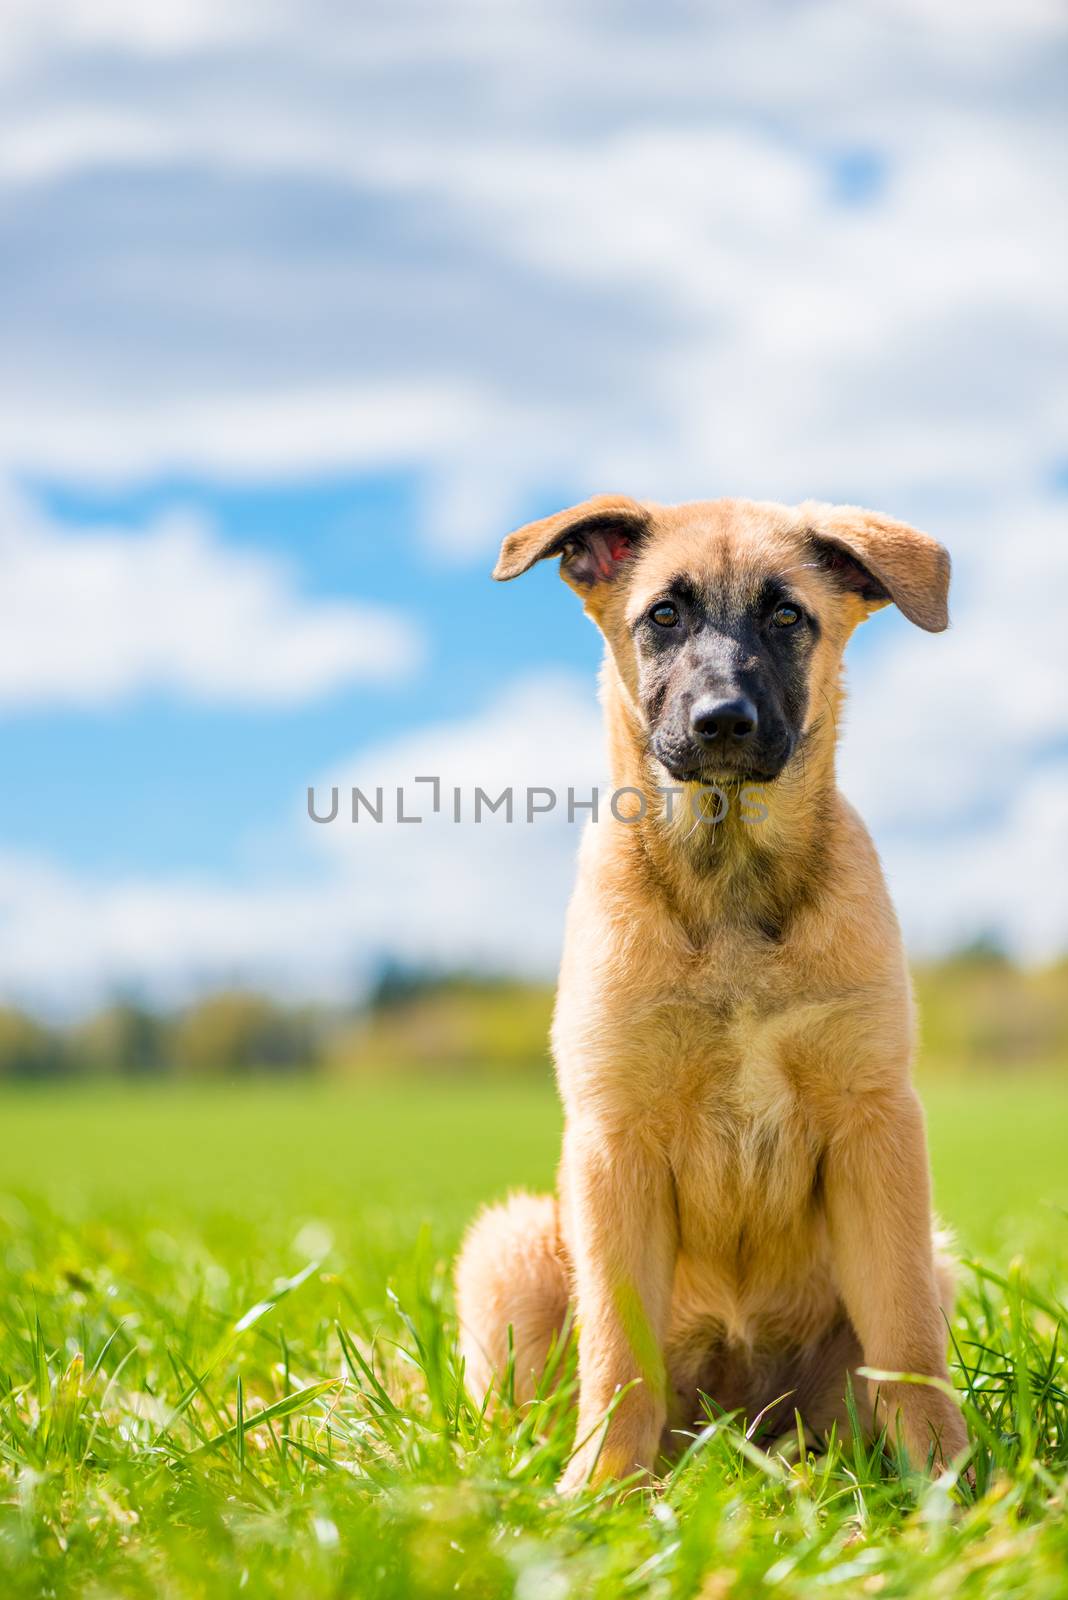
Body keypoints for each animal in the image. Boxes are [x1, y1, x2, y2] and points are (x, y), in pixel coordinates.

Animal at [450, 496, 965, 1484]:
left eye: (788, 615)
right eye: (664, 615)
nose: (723, 721)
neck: (729, 887)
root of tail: (735, 1425)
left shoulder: (877, 1127)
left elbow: (909, 1346)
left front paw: (952, 1489)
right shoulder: (614, 1143)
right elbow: (619, 1357)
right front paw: (600, 1492)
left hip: (933, 1261)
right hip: (512, 1246)